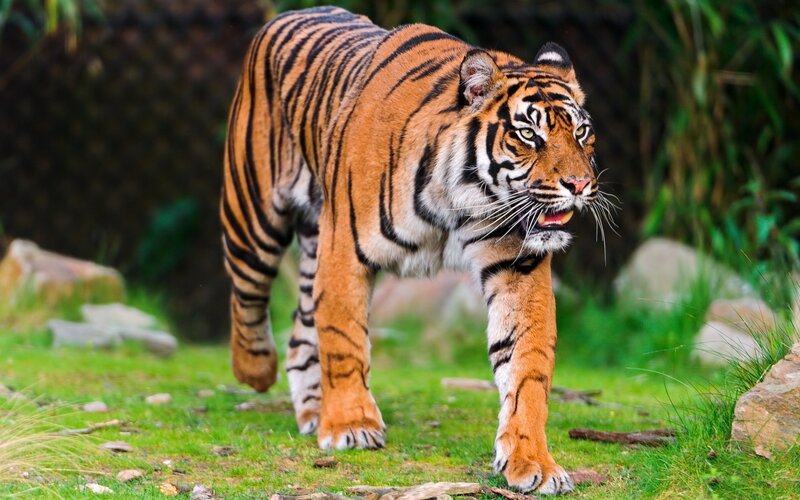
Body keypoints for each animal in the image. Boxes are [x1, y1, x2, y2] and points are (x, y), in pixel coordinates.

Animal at [221, 6, 607, 494]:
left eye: (583, 132)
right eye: (528, 135)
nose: (580, 185)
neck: (461, 201)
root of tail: (290, 13)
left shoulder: (517, 264)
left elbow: (528, 366)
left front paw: (531, 461)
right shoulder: (343, 248)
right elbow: (344, 338)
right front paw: (352, 425)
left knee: (301, 329)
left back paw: (313, 411)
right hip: (253, 214)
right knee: (247, 297)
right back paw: (256, 371)